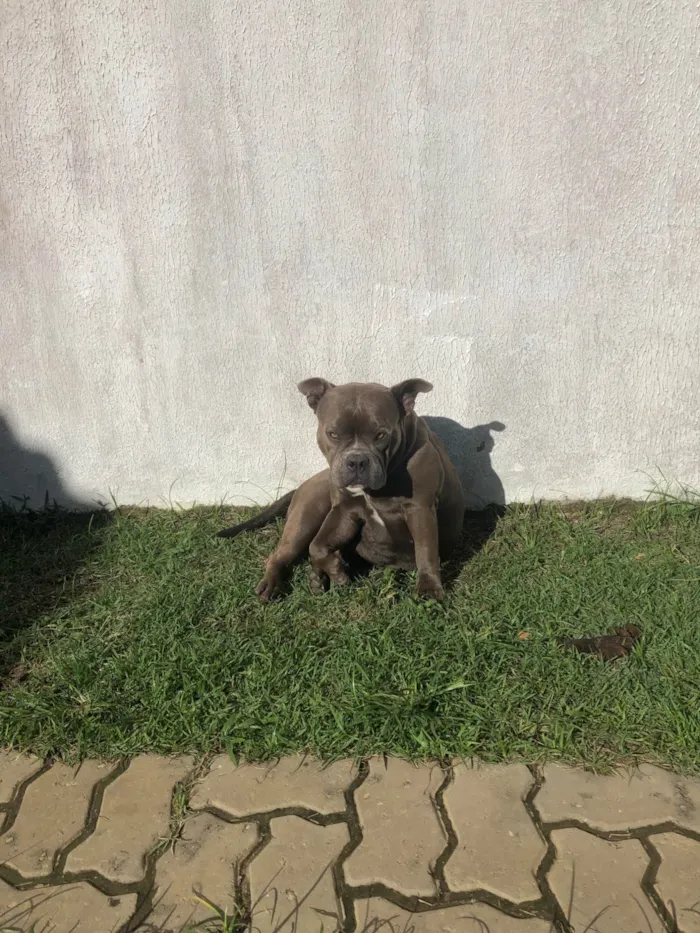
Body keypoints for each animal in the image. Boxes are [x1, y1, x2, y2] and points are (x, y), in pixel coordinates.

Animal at [219, 380, 468, 604]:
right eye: (333, 434)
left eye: (381, 435)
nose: (356, 460)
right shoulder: (344, 510)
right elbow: (316, 546)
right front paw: (336, 572)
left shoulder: (420, 509)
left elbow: (426, 550)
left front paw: (429, 588)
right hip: (305, 519)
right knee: (281, 554)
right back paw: (281, 582)